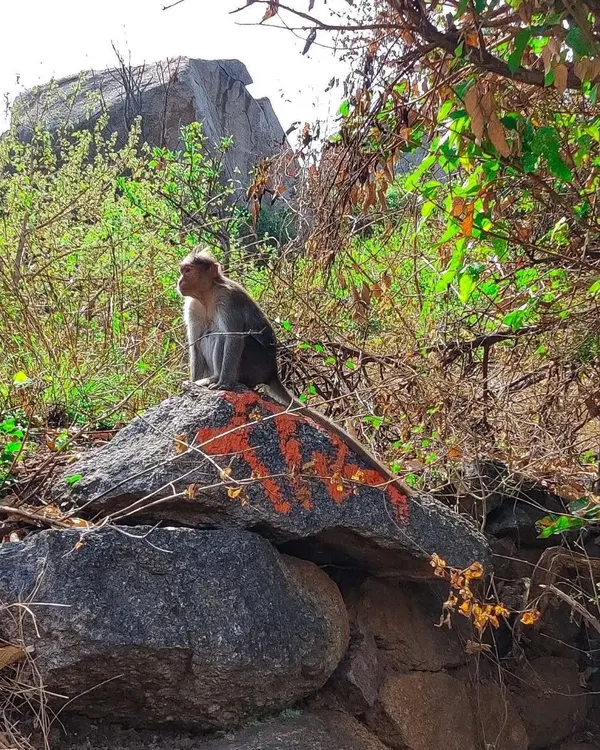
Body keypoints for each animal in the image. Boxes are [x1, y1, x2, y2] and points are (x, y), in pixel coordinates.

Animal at [177, 249, 413, 498]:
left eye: (188, 271)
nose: (179, 281)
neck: (208, 295)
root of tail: (272, 372)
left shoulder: (228, 301)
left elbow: (233, 339)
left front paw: (223, 384)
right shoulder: (192, 306)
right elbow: (195, 344)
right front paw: (192, 382)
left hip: (254, 365)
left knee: (224, 335)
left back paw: (220, 378)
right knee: (209, 334)